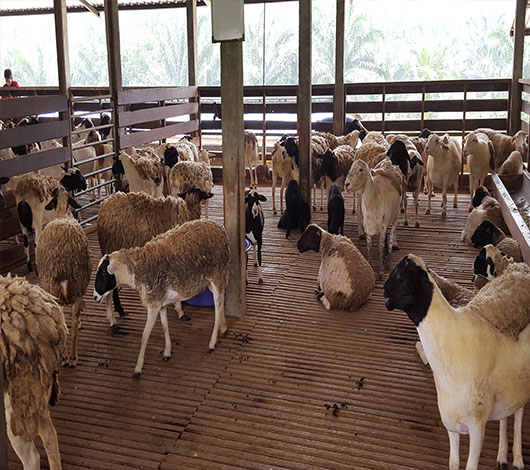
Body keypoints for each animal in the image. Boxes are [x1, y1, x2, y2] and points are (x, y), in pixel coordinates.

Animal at [36, 188, 91, 367]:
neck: (62, 212)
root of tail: (62, 266)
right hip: (76, 286)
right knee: (70, 324)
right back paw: (72, 357)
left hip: (56, 288)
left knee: (64, 325)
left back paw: (68, 357)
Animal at [93, 219, 230, 378]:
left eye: (104, 273)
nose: (95, 296)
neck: (138, 269)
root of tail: (218, 227)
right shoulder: (161, 303)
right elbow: (165, 327)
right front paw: (167, 352)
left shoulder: (153, 305)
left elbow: (145, 335)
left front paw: (138, 368)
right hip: (212, 281)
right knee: (220, 302)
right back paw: (223, 327)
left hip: (217, 275)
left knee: (217, 307)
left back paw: (212, 343)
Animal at [384, 254, 530, 470]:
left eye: (398, 275)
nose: (384, 290)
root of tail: (520, 266)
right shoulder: (451, 424)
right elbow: (453, 463)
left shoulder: (477, 427)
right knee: (506, 413)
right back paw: (502, 455)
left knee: (519, 412)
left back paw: (518, 459)